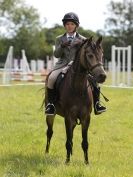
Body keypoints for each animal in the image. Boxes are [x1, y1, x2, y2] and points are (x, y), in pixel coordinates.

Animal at [44, 36, 106, 165]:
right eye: (90, 55)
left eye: (101, 54)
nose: (102, 76)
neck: (78, 87)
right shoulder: (69, 117)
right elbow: (68, 141)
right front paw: (67, 162)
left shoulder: (86, 117)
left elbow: (84, 142)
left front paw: (86, 163)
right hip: (50, 115)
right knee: (49, 132)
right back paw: (46, 153)